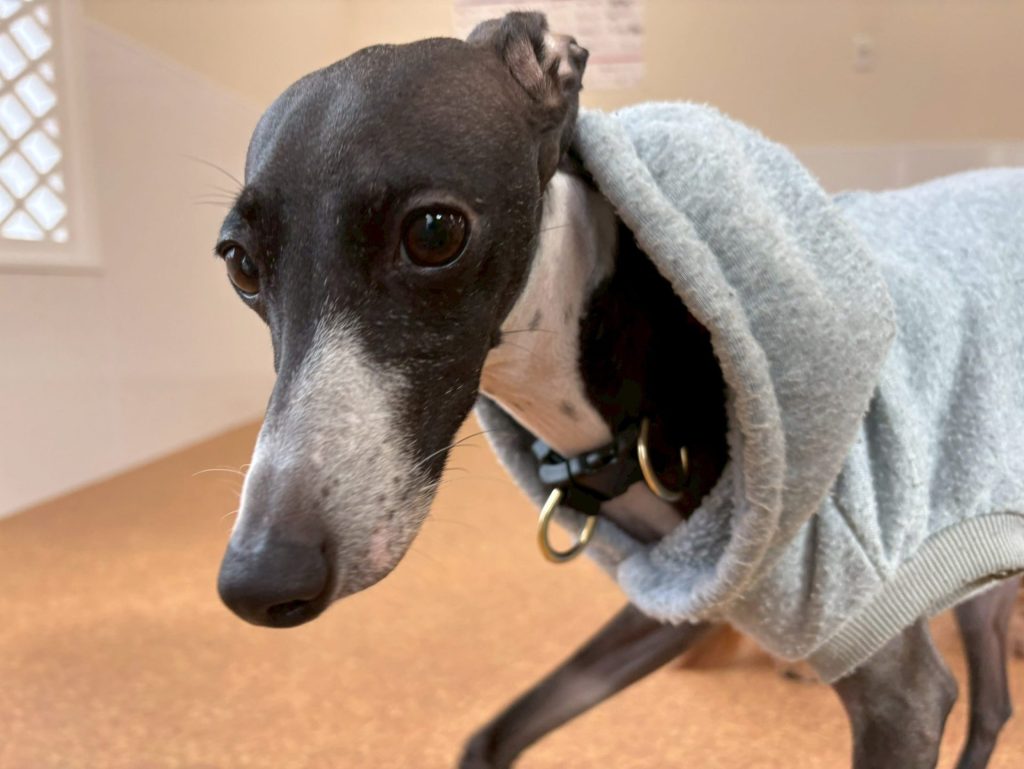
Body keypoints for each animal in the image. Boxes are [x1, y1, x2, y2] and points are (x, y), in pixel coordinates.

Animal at [213, 13, 1020, 769]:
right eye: (238, 264)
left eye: (435, 231)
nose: (259, 578)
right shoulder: (683, 595)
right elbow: (491, 735)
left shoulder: (894, 680)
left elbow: (919, 686)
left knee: (989, 701)